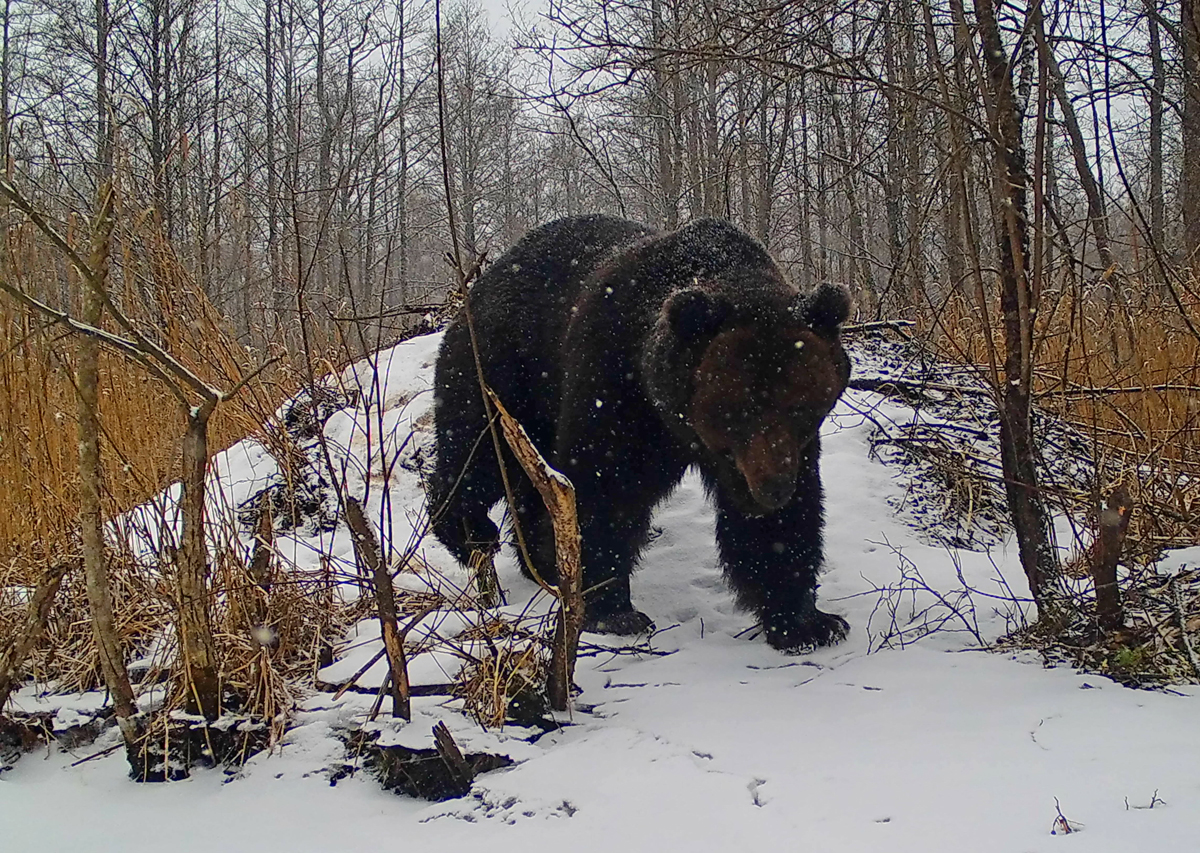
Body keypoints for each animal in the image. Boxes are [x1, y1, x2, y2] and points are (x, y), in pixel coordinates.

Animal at [428, 214, 852, 651]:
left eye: (800, 406)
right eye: (737, 410)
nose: (772, 487)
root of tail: (482, 282)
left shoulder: (779, 451)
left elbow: (782, 524)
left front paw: (807, 622)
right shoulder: (616, 386)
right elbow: (606, 488)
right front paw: (613, 610)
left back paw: (542, 562)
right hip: (504, 372)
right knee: (478, 453)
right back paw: (470, 534)